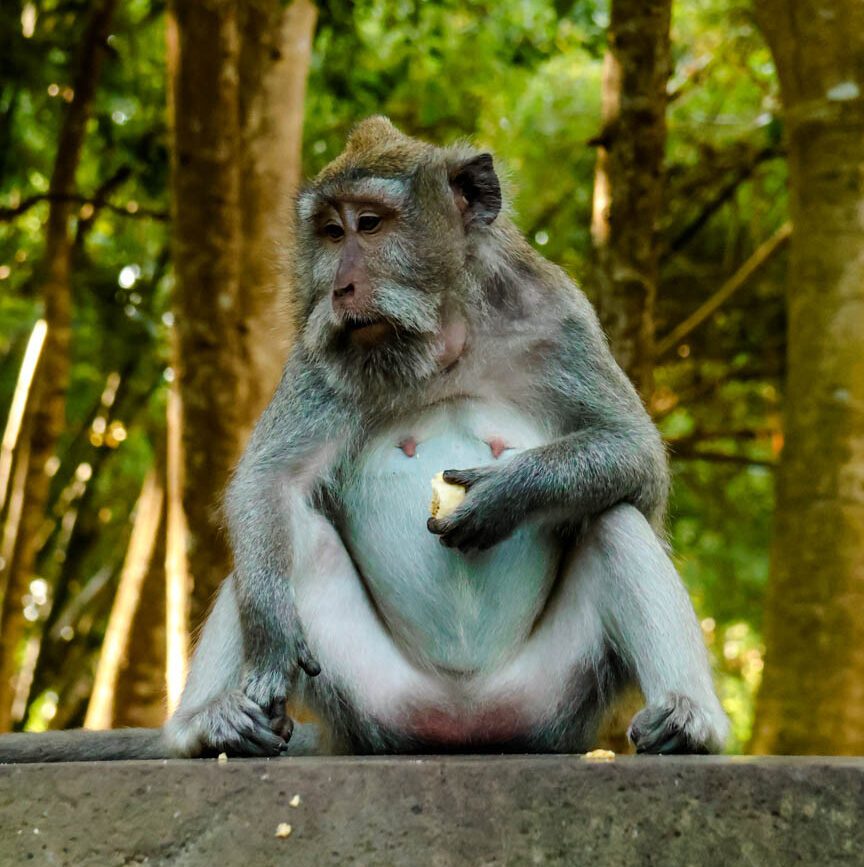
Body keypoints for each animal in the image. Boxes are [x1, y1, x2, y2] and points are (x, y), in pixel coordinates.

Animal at [0, 117, 728, 763]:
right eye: (330, 231)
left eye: (370, 224)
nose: (341, 286)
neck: (442, 342)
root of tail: (461, 729)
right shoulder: (316, 355)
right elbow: (268, 482)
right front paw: (269, 628)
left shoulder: (560, 317)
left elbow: (636, 459)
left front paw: (507, 493)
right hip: (369, 697)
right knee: (290, 531)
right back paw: (205, 726)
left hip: (551, 703)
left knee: (613, 518)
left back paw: (690, 720)